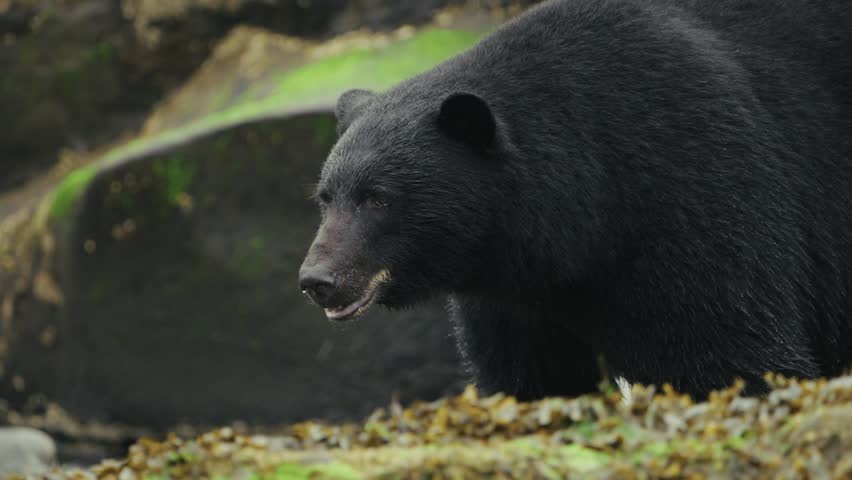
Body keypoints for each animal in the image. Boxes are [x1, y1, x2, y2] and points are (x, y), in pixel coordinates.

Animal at [299, 0, 852, 400]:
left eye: (377, 199)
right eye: (326, 198)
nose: (318, 280)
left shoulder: (695, 181)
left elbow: (728, 347)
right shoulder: (511, 293)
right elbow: (530, 375)